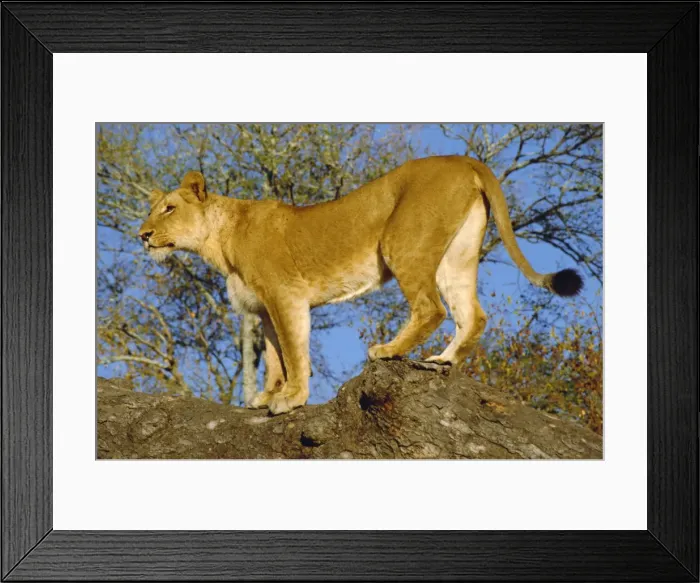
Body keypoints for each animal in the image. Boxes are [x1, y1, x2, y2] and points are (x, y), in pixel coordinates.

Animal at [139, 155, 582, 414]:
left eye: (169, 209)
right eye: (152, 210)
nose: (142, 235)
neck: (220, 241)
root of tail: (464, 157)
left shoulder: (286, 296)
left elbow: (295, 352)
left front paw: (291, 399)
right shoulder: (263, 309)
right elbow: (274, 357)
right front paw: (267, 396)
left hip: (402, 242)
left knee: (432, 308)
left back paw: (389, 351)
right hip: (456, 256)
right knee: (472, 314)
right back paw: (442, 361)